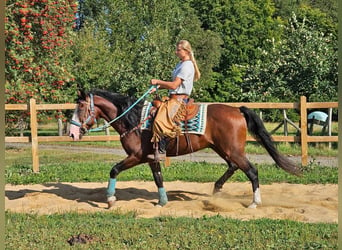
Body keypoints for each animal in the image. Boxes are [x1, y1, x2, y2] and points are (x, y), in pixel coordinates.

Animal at [70, 90, 302, 209]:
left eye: (80, 106)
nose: (72, 133)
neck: (134, 119)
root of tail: (237, 110)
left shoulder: (136, 156)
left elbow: (114, 170)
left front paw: (110, 200)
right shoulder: (151, 157)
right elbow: (158, 178)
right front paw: (162, 202)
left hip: (233, 150)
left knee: (251, 171)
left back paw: (255, 202)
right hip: (223, 149)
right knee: (233, 166)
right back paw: (216, 190)